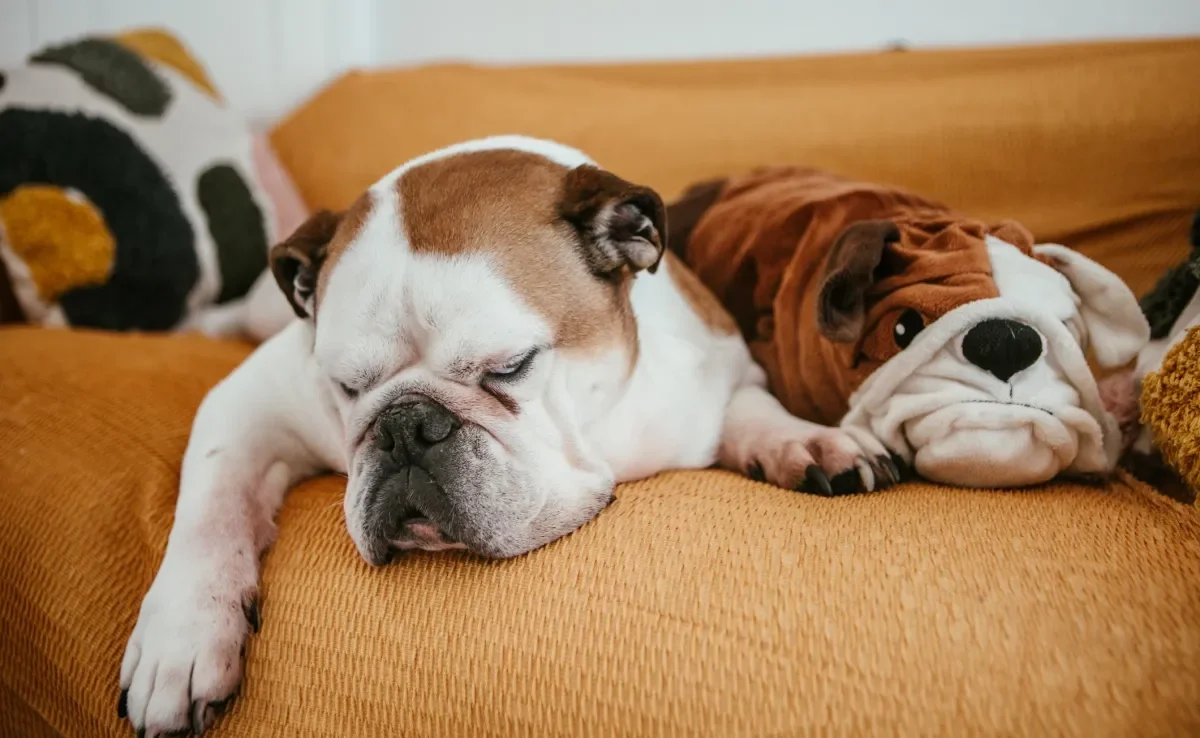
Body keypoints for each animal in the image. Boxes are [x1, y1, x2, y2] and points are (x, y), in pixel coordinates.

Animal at [117, 137, 902, 734]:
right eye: (347, 387)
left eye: (510, 366)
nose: (405, 427)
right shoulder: (246, 404)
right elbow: (211, 511)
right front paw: (182, 637)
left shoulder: (718, 370)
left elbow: (753, 407)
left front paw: (810, 440)